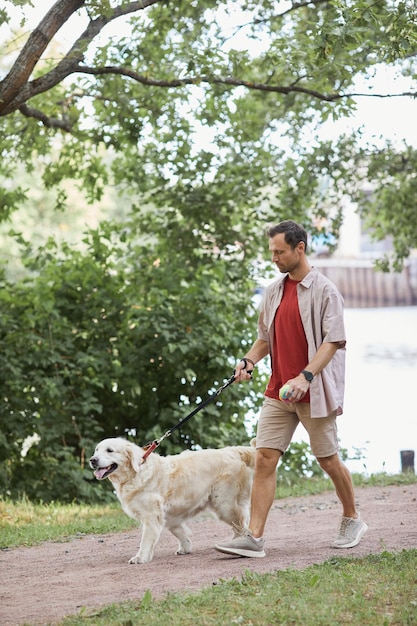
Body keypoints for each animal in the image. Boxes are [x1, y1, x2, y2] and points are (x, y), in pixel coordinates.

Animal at [89, 436, 255, 564]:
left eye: (110, 450)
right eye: (96, 450)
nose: (92, 460)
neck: (135, 474)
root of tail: (232, 450)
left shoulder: (151, 516)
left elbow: (145, 540)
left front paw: (140, 557)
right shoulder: (169, 516)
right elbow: (180, 532)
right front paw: (185, 548)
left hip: (224, 504)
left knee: (241, 525)